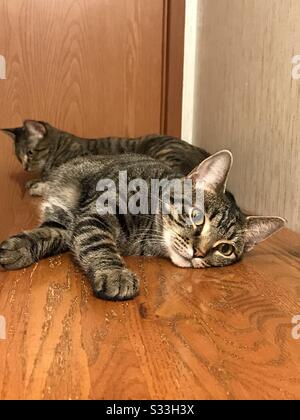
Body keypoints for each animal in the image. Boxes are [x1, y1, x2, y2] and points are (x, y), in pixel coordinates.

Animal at [0, 149, 286, 300]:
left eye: (225, 249)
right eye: (197, 217)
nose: (199, 253)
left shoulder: (72, 224)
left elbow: (50, 234)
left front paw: (18, 247)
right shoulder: (97, 211)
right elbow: (98, 243)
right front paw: (115, 273)